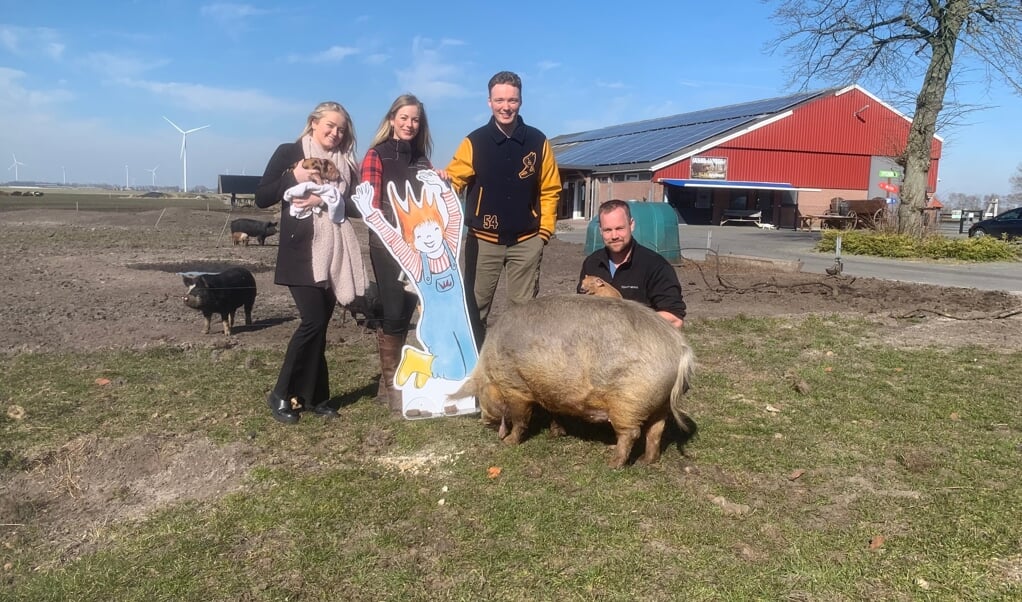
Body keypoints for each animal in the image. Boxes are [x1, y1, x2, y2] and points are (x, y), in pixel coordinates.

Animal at [453, 294, 694, 468]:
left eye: (479, 394)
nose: (484, 421)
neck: (491, 368)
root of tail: (680, 349)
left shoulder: (516, 387)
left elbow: (520, 418)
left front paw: (508, 442)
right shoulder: (549, 391)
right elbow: (553, 412)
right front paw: (557, 433)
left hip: (629, 401)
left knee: (631, 433)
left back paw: (611, 463)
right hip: (660, 403)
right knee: (656, 430)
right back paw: (646, 461)